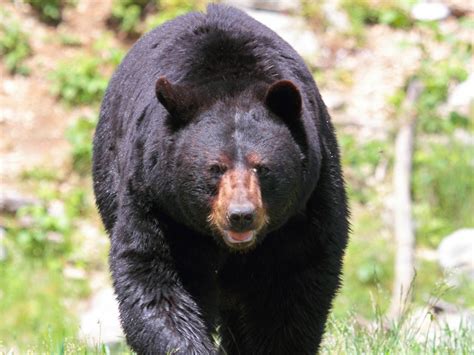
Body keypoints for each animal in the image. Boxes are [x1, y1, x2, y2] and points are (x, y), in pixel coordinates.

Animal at [92, 3, 350, 355]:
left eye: (262, 167)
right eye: (215, 168)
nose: (240, 215)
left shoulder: (308, 202)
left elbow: (293, 285)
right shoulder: (157, 201)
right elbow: (155, 274)